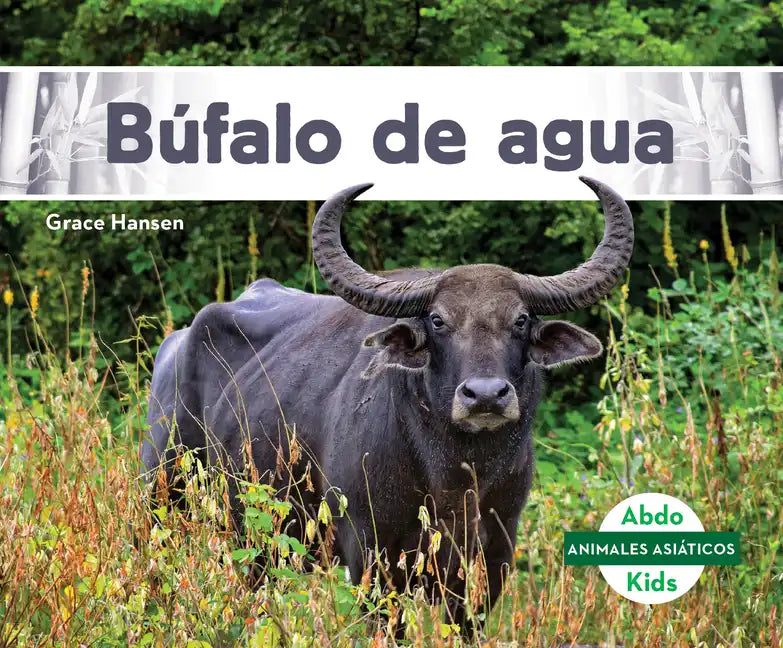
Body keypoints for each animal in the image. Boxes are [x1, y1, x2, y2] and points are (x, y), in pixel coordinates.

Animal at [142, 176, 633, 628]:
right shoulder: (372, 558)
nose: (485, 395)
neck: (454, 475)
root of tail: (175, 345)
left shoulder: (491, 560)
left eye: (521, 320)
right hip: (163, 501)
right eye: (437, 320)